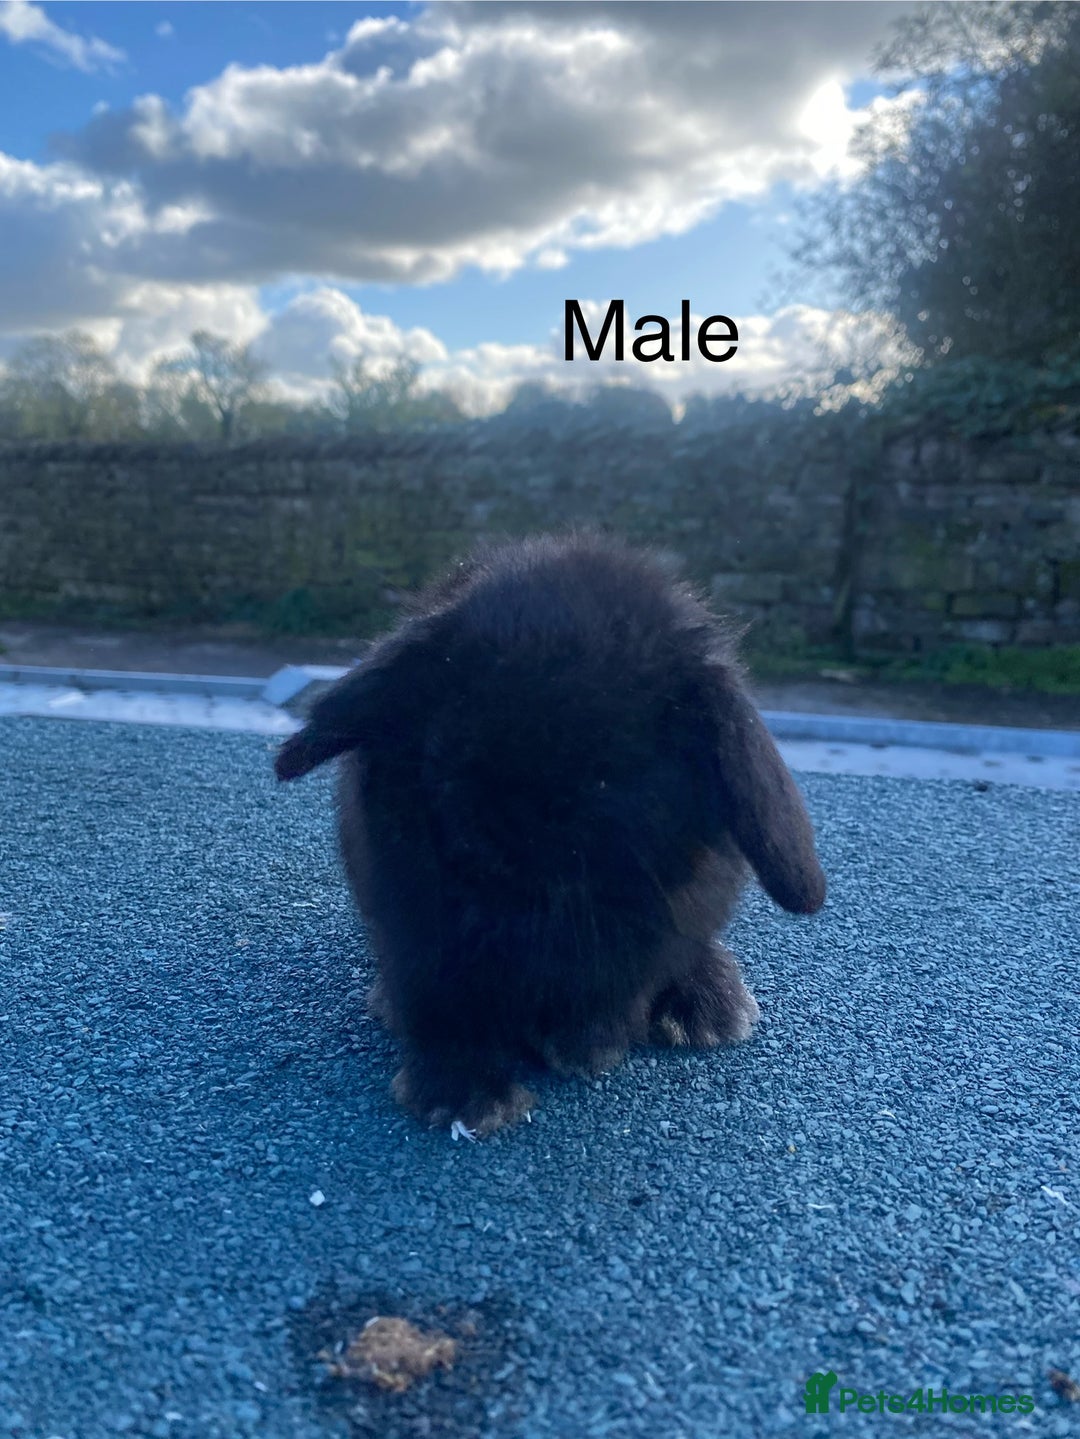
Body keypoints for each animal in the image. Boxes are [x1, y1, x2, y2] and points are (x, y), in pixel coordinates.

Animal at [274, 531, 826, 1137]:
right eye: (455, 704)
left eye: (611, 760)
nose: (492, 826)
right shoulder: (417, 924)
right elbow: (439, 999)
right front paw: (463, 1097)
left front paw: (584, 1045)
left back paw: (709, 1004)